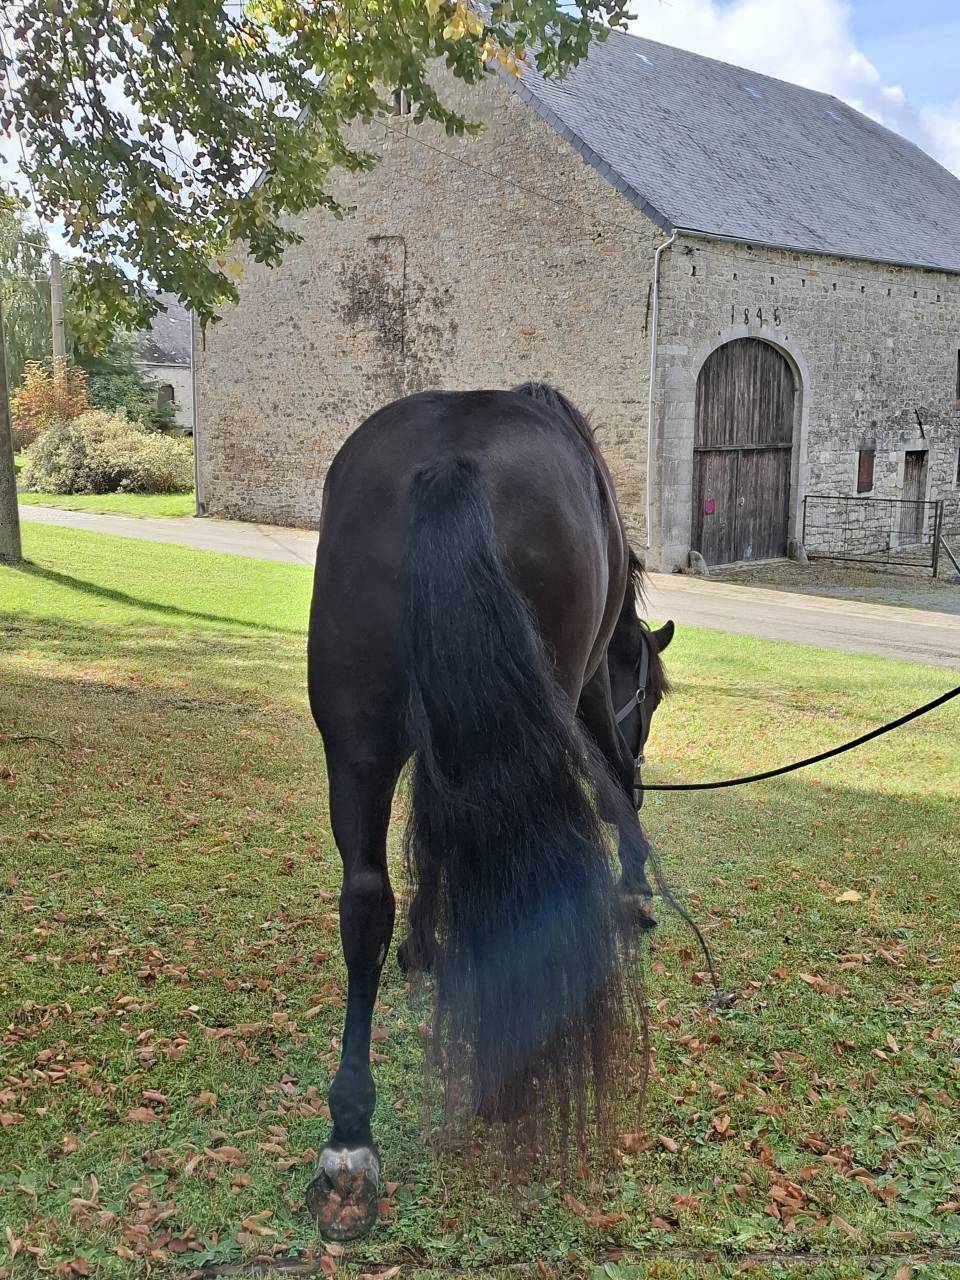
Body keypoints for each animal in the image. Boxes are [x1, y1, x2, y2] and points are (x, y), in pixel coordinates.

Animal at [305, 382, 674, 1241]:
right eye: (654, 695)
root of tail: (451, 463)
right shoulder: (589, 692)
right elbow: (610, 777)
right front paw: (636, 884)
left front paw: (423, 946)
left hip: (356, 744)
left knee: (364, 899)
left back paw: (350, 1135)